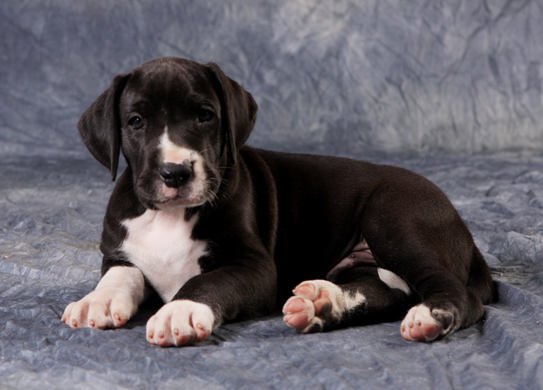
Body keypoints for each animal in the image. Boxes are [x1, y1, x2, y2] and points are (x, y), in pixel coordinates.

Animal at [61, 56, 496, 346]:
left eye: (205, 115)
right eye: (135, 122)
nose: (175, 172)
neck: (169, 215)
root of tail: (461, 226)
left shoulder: (253, 267)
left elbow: (205, 280)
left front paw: (178, 310)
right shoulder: (118, 253)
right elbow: (122, 273)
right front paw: (96, 301)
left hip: (393, 218)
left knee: (458, 293)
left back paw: (430, 315)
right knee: (387, 289)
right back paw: (322, 304)